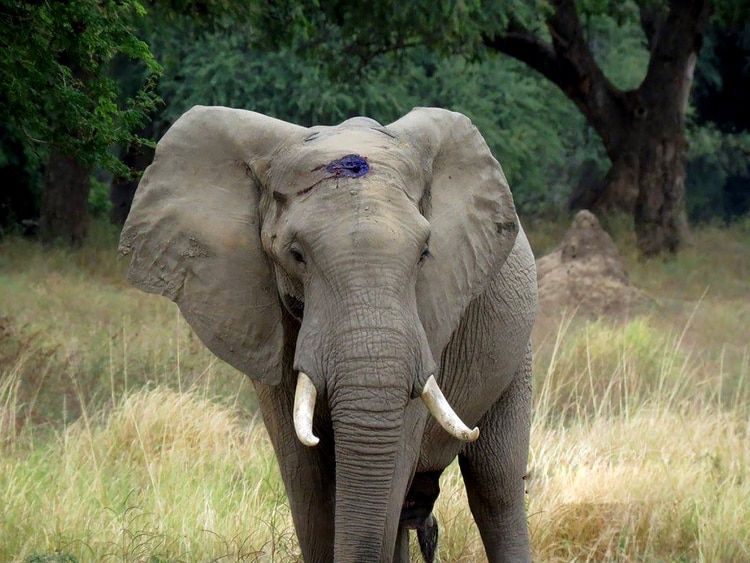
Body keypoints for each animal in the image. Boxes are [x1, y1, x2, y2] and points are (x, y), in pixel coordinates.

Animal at [119, 106, 538, 563]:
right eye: (296, 255)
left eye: (425, 253)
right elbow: (307, 478)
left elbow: (392, 467)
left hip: (518, 348)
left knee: (495, 485)